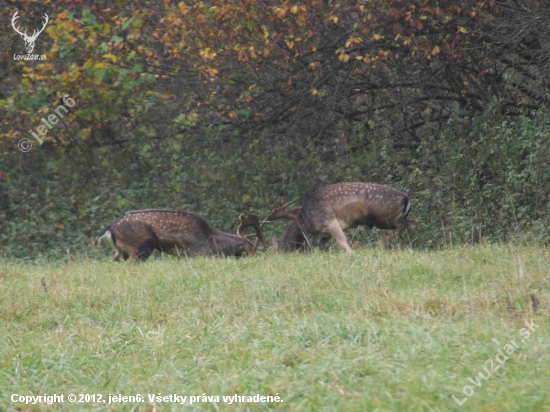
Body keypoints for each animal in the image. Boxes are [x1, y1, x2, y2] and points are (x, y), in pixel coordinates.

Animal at [94, 209, 266, 260]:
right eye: (250, 250)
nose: (257, 258)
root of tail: (109, 229)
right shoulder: (195, 254)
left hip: (121, 251)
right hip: (141, 247)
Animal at [266, 183, 418, 253]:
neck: (304, 221)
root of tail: (407, 199)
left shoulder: (330, 222)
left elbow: (345, 245)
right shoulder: (323, 236)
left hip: (382, 217)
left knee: (403, 225)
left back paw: (379, 245)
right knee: (413, 222)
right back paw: (403, 245)